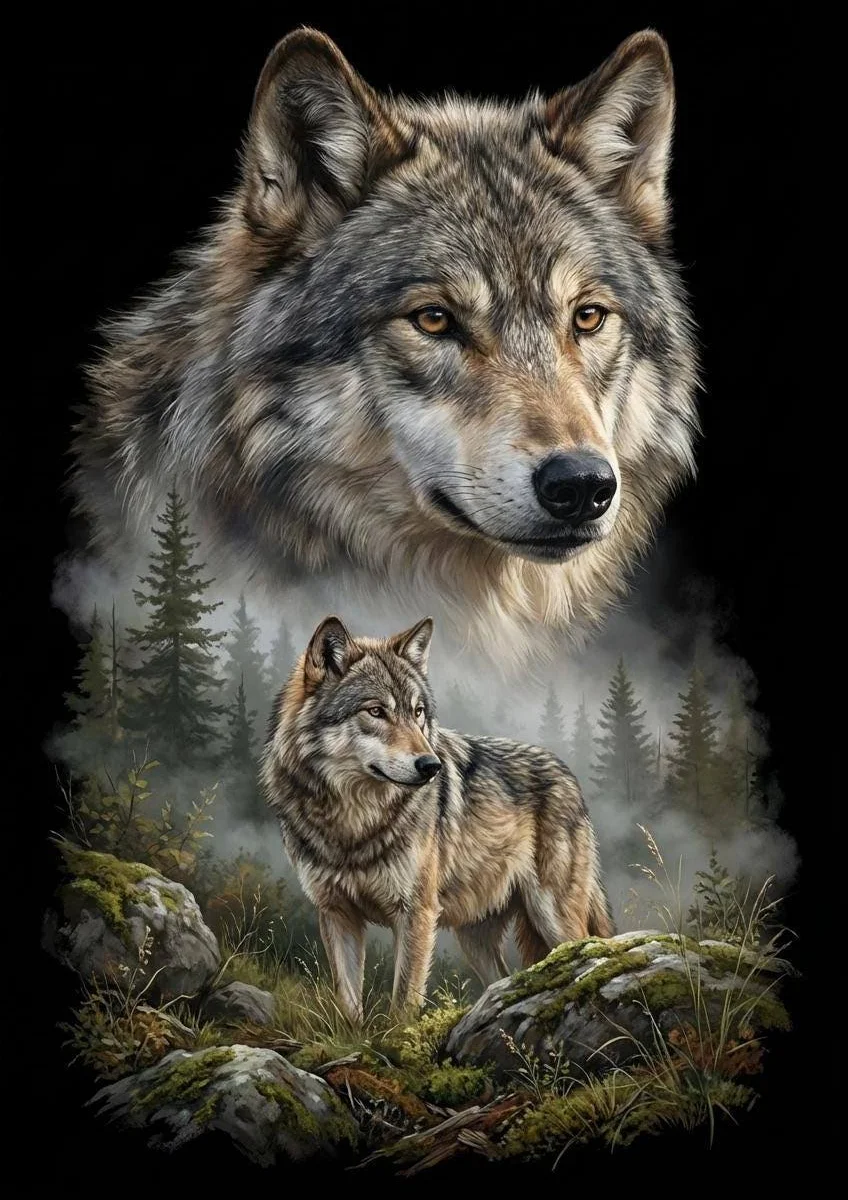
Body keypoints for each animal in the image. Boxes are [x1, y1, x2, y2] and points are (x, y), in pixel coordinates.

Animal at [261, 615, 613, 1019]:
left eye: (417, 712)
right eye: (376, 711)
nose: (431, 766)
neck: (353, 822)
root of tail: (569, 775)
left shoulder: (416, 914)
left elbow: (402, 1003)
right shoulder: (336, 913)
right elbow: (348, 1003)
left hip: (554, 918)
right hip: (475, 937)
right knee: (503, 979)